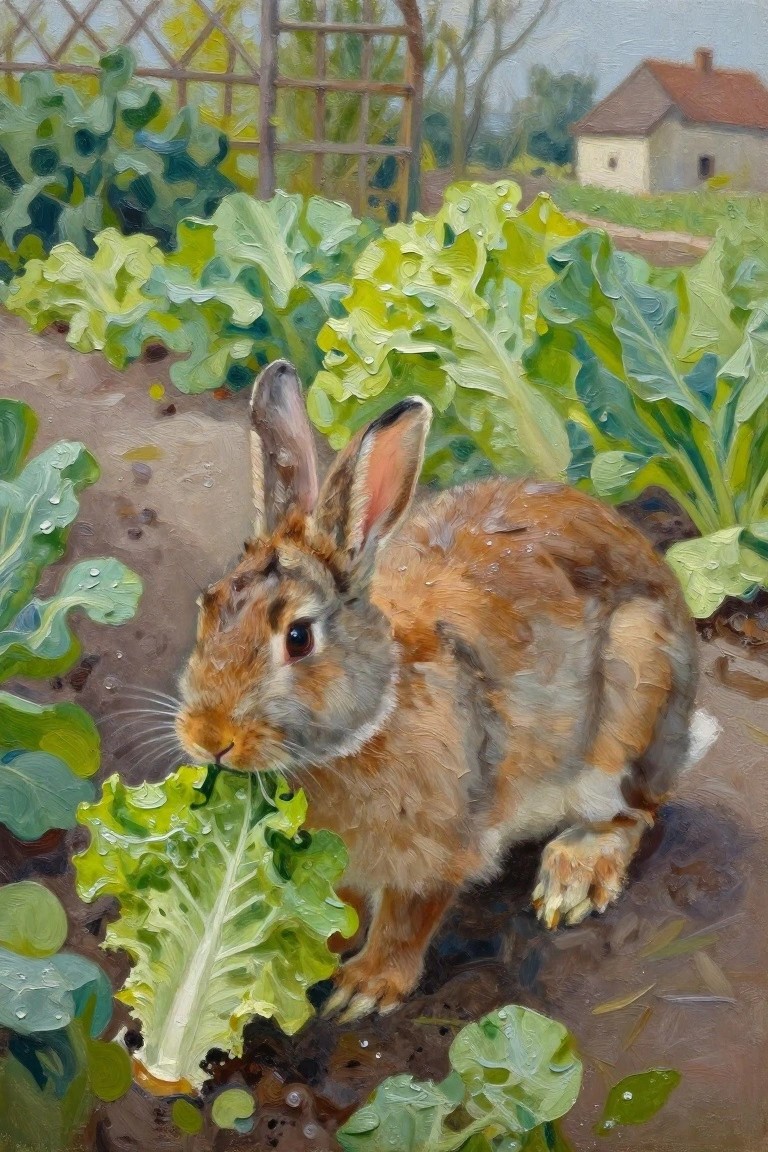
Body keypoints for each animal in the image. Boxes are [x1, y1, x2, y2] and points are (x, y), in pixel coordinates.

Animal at [176, 359, 718, 1022]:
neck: (375, 715)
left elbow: (409, 918)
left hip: (632, 700)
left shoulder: (437, 847)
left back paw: (573, 877)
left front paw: (364, 989)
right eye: (207, 606)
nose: (208, 738)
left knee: (636, 813)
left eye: (298, 638)